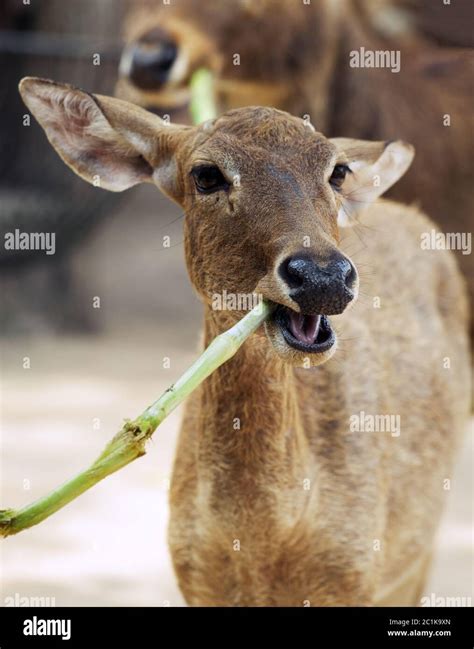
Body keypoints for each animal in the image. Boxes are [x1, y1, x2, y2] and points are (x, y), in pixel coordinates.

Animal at [19, 77, 470, 608]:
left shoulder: (357, 575)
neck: (265, 540)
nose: (322, 276)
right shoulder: (195, 580)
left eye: (337, 171)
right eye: (206, 175)